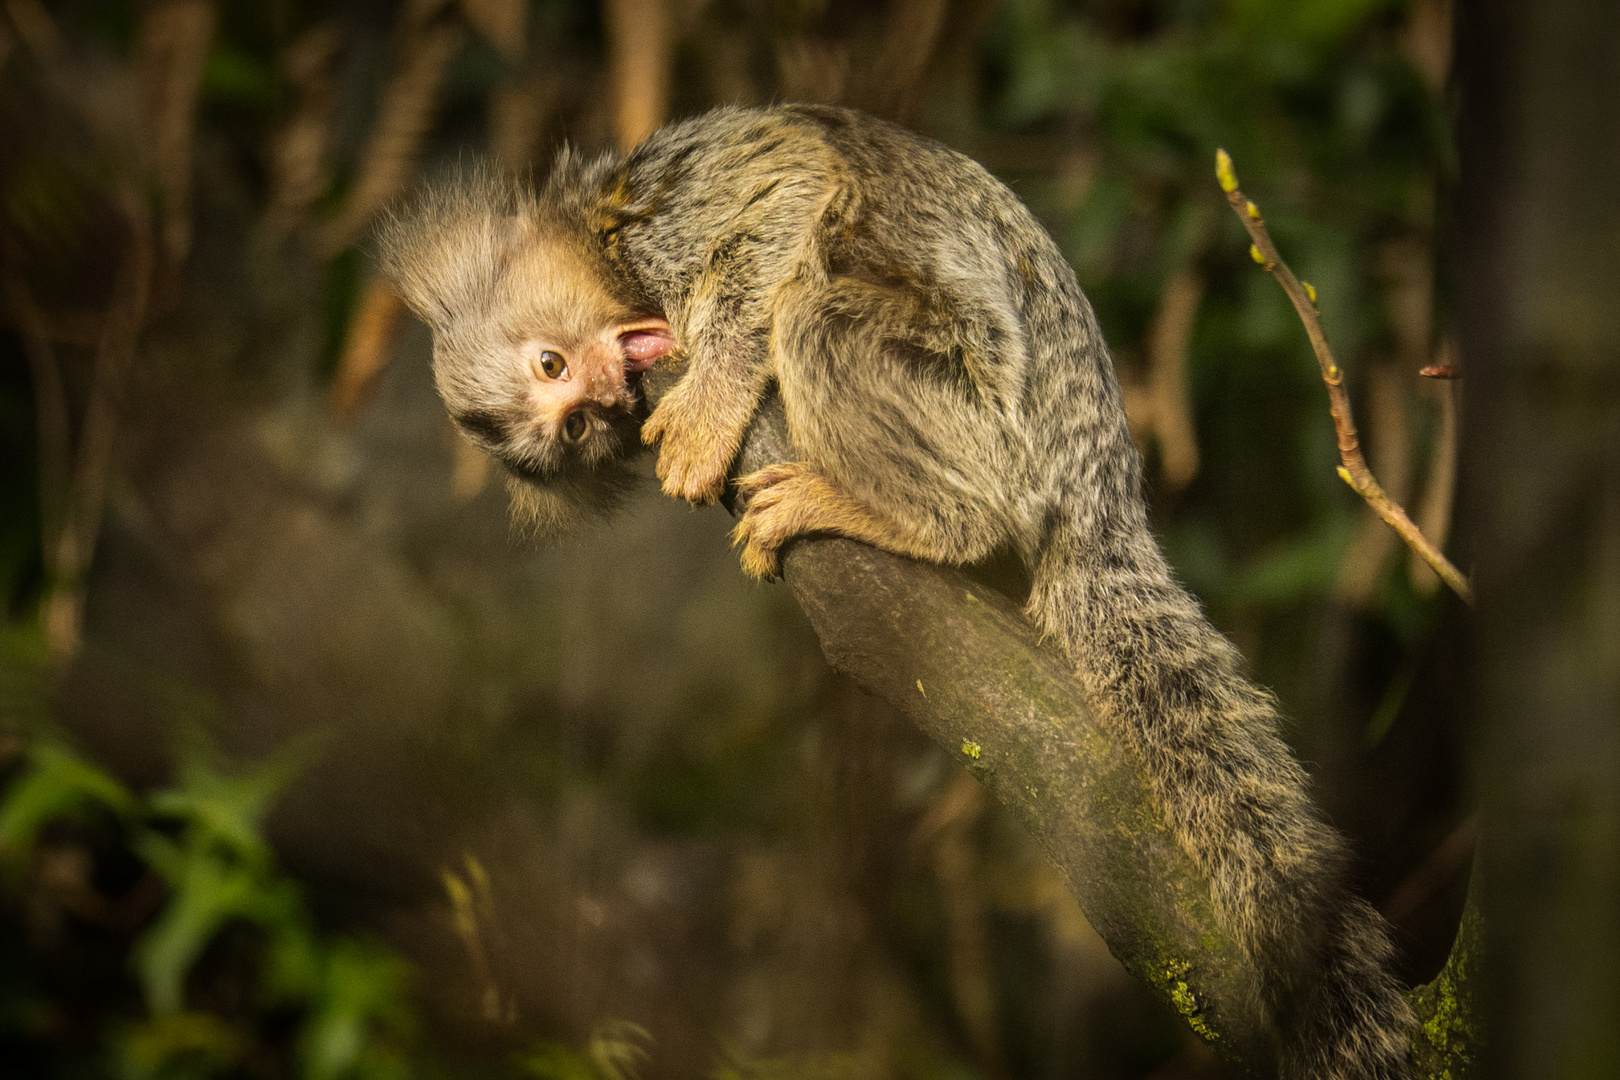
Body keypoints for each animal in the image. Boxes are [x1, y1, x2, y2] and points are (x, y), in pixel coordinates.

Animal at [375, 103, 1406, 1080]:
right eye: (576, 426)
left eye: (553, 369)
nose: (597, 390)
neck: (603, 244)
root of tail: (1096, 486)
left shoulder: (667, 202)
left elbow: (793, 191)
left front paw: (712, 391)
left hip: (985, 428)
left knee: (823, 319)